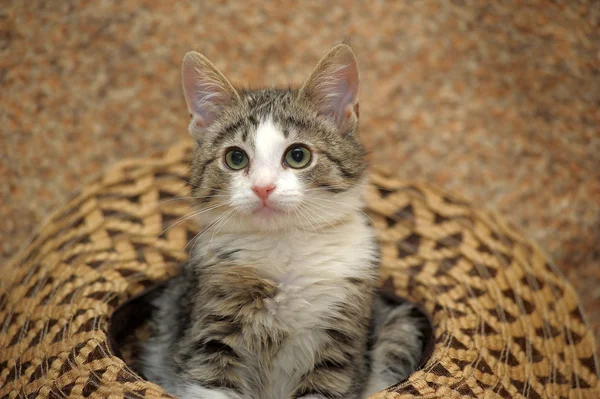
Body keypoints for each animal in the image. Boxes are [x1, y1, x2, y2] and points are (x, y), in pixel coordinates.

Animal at [141, 44, 424, 399]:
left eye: (298, 155)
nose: (263, 187)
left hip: (399, 327)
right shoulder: (209, 332)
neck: (284, 245)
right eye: (235, 158)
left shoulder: (339, 339)